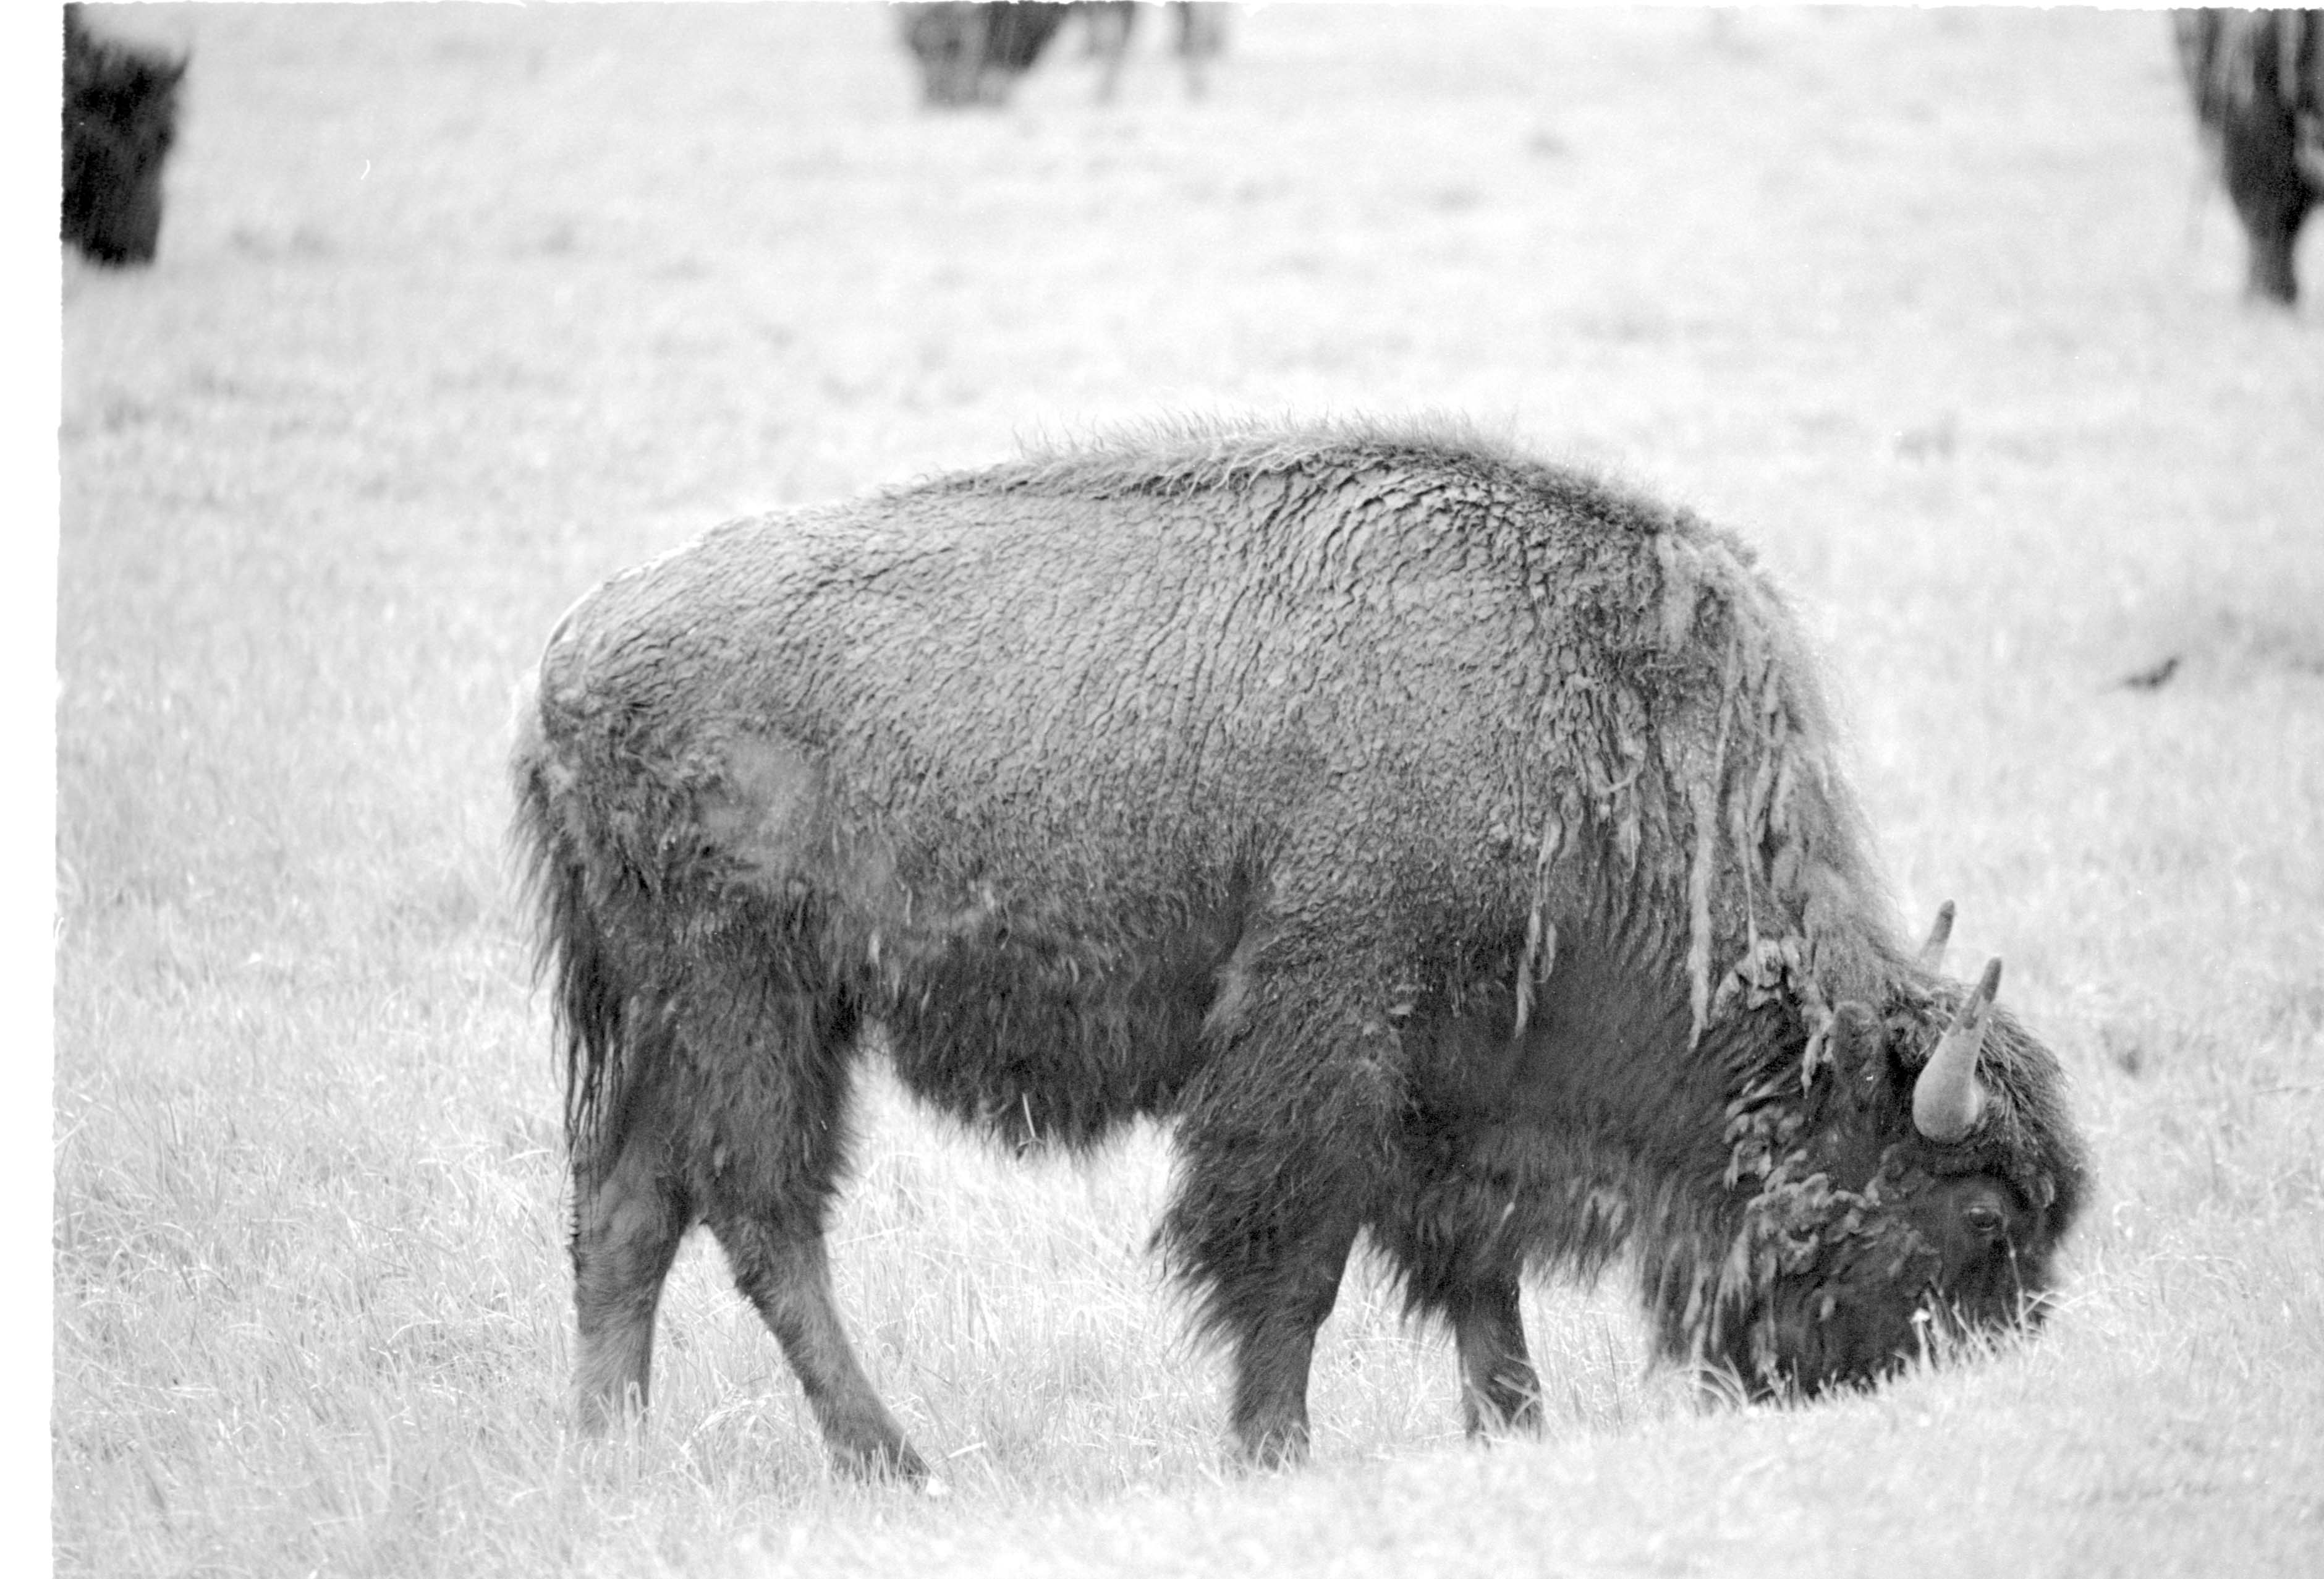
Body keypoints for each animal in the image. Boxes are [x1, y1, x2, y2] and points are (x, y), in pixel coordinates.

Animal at [512, 420, 2088, 1477]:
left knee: (628, 1205)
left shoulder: (1453, 1080)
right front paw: (1273, 1446)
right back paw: (890, 1459)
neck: (1589, 727)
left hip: (683, 1010)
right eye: (1982, 1217)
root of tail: (568, 656)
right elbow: (1296, 1252)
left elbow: (1472, 1266)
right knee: (758, 1210)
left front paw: (1510, 1424)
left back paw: (612, 1451)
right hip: (750, 997)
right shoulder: (1327, 1027)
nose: (1960, 1383)